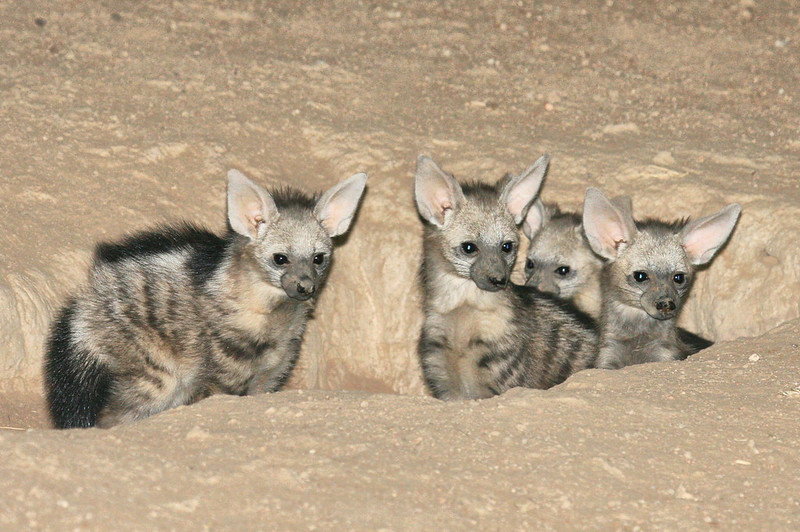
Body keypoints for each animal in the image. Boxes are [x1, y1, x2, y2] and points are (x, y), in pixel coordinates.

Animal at [44, 169, 367, 428]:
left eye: (318, 258)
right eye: (280, 259)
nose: (305, 287)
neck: (273, 317)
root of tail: (86, 303)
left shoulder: (273, 370)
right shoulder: (223, 363)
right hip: (152, 364)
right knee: (120, 410)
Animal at [415, 155, 597, 400]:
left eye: (507, 246)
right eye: (469, 247)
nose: (499, 280)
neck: (462, 312)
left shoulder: (503, 378)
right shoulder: (440, 374)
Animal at [582, 187, 740, 369]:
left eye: (678, 277)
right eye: (640, 276)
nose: (666, 304)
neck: (637, 344)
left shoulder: (666, 356)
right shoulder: (606, 358)